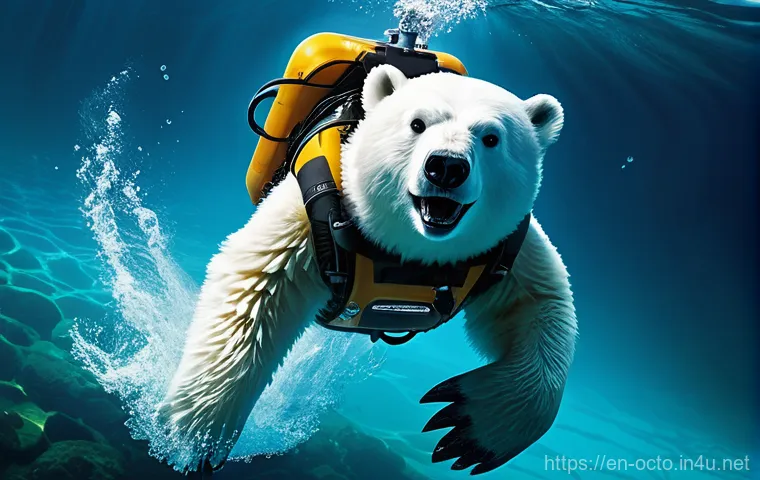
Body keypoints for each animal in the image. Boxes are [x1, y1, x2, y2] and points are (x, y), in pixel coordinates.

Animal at [159, 64, 577, 475]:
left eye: (492, 137)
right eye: (417, 123)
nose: (445, 167)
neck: (411, 255)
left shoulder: (506, 247)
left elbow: (543, 305)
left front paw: (469, 430)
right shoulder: (320, 207)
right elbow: (256, 288)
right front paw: (196, 437)